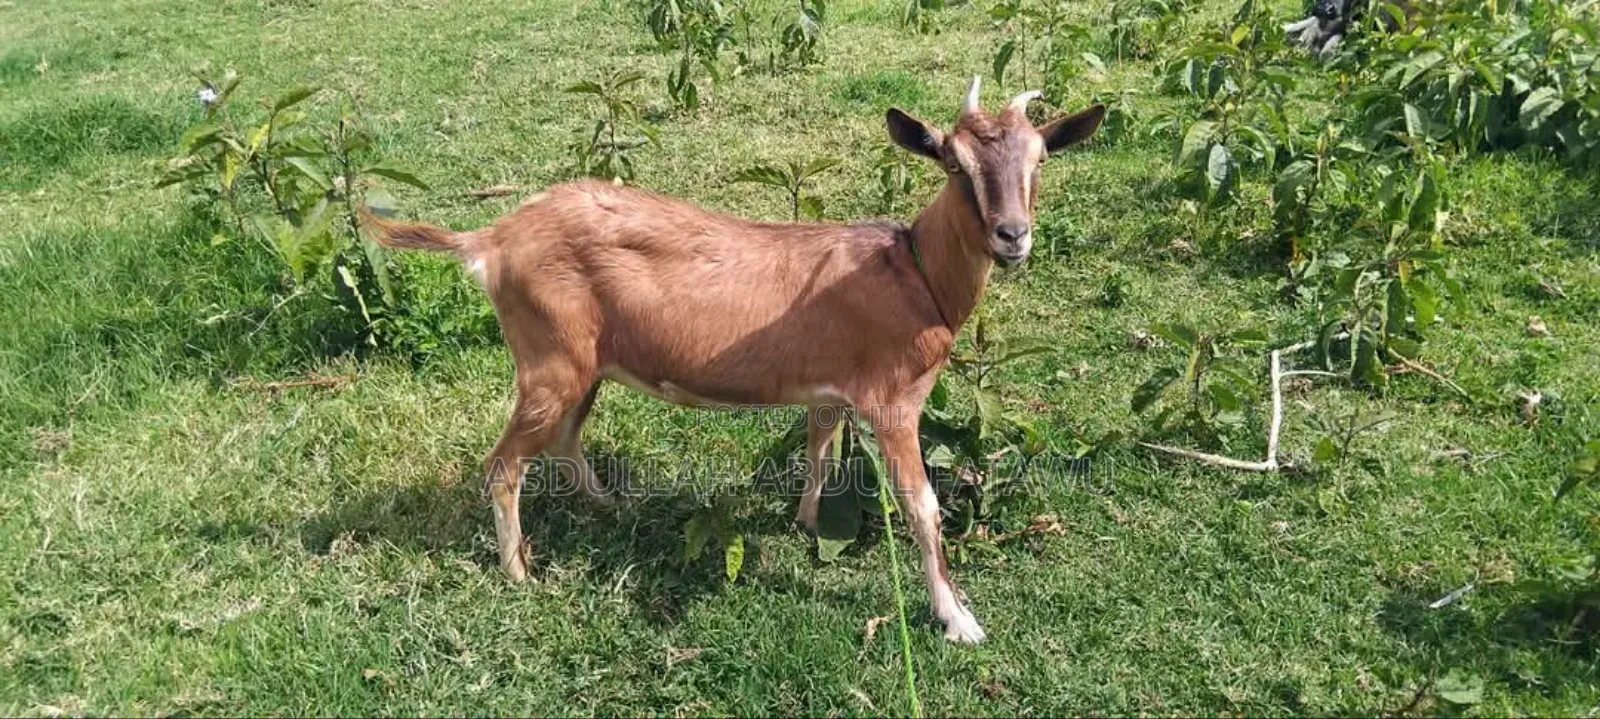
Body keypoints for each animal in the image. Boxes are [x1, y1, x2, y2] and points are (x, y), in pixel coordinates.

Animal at [363, 76, 1104, 644]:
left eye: (1041, 159)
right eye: (953, 165)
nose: (1012, 236)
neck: (912, 275)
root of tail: (492, 238)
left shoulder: (832, 391)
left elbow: (819, 449)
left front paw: (806, 524)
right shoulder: (894, 401)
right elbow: (921, 505)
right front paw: (957, 618)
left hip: (583, 363)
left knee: (566, 436)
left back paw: (609, 508)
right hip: (549, 359)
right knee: (505, 462)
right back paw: (518, 571)